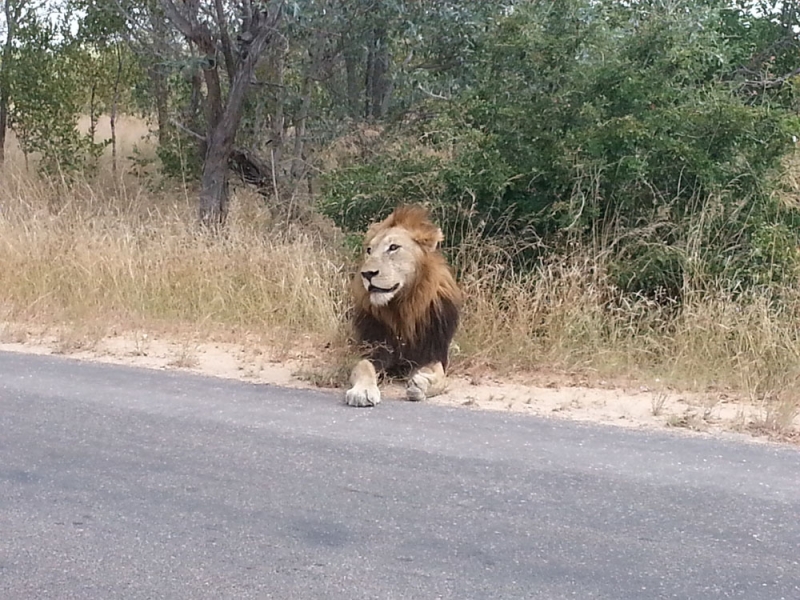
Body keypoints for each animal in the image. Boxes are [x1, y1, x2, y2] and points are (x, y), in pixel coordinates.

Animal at [344, 205, 462, 408]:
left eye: (393, 247)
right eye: (369, 250)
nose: (367, 274)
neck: (402, 307)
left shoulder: (432, 352)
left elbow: (440, 376)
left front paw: (422, 384)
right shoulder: (374, 349)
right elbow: (363, 366)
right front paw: (362, 391)